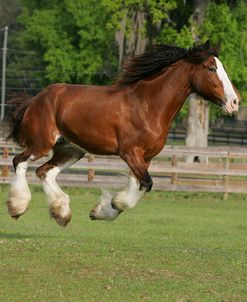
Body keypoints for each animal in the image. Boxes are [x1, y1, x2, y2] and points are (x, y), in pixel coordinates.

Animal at [3, 39, 239, 226]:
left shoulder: (146, 157)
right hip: (42, 144)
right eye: (211, 68)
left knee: (45, 171)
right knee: (19, 162)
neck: (147, 105)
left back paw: (61, 213)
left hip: (71, 150)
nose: (235, 102)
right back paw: (18, 207)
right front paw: (110, 205)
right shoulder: (130, 152)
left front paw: (102, 210)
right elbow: (146, 184)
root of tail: (36, 98)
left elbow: (138, 186)